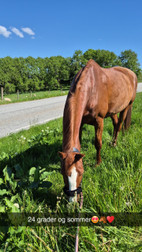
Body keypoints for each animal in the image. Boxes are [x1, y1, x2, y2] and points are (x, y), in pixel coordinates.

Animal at [58, 58, 136, 201]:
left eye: (81, 172)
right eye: (63, 173)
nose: (73, 200)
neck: (91, 87)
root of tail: (131, 73)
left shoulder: (99, 120)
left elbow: (98, 143)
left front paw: (98, 163)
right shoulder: (81, 123)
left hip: (127, 106)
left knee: (120, 124)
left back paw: (115, 143)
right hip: (112, 111)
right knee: (116, 123)